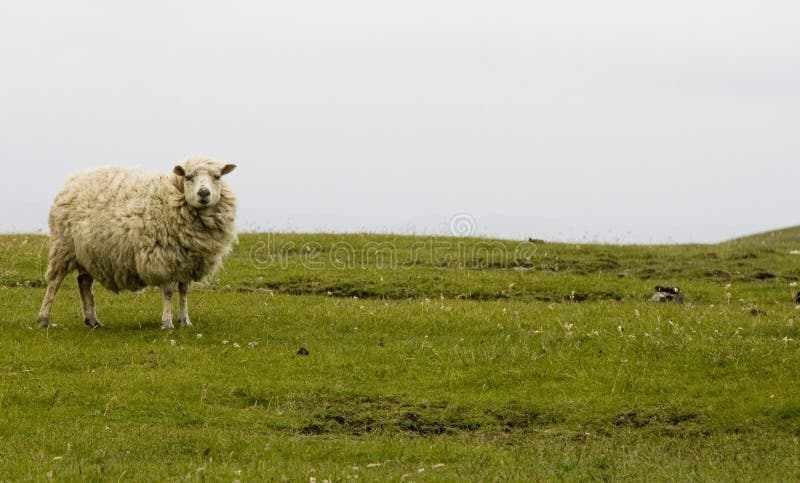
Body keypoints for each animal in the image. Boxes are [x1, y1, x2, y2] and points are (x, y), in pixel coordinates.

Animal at [38, 157, 238, 330]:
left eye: (217, 176)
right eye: (188, 177)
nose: (203, 193)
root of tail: (72, 181)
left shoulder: (186, 262)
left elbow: (183, 292)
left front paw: (185, 321)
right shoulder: (161, 259)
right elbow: (168, 292)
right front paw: (167, 323)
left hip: (88, 253)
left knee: (84, 283)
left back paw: (92, 320)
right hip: (64, 247)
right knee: (54, 283)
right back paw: (43, 319)